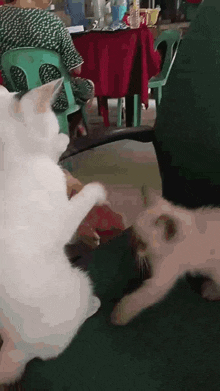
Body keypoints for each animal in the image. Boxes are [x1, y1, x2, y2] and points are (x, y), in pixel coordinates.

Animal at [0, 79, 106, 386]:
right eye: (51, 119)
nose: (61, 130)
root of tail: (15, 347)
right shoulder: (62, 221)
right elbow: (84, 198)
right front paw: (98, 191)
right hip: (81, 281)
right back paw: (93, 304)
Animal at [111, 191, 220, 326]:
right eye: (133, 235)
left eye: (142, 244)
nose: (132, 250)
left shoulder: (160, 280)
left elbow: (134, 300)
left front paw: (118, 316)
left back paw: (210, 291)